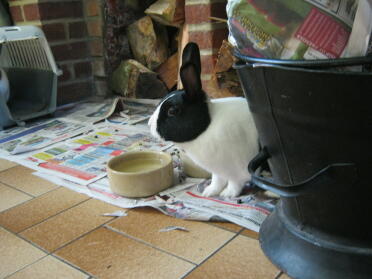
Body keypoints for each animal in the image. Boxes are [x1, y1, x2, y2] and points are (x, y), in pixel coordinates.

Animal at [149, 42, 258, 198]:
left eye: (172, 111)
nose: (149, 125)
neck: (206, 128)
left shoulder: (237, 169)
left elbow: (234, 183)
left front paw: (227, 195)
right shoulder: (218, 171)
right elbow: (217, 180)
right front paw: (209, 192)